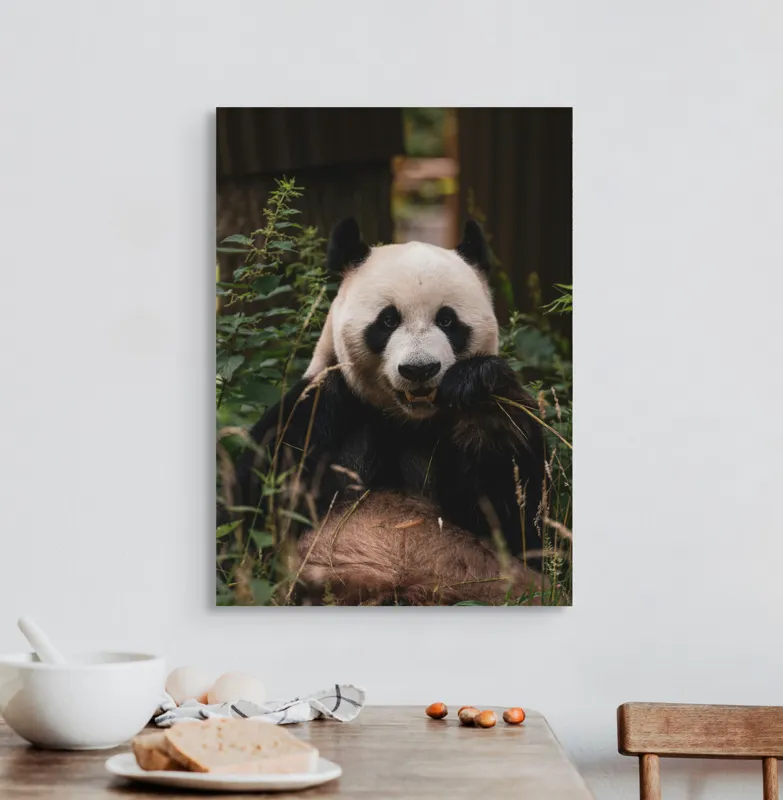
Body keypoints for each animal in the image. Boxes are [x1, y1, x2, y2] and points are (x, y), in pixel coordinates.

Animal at [224, 218, 547, 605]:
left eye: (447, 321)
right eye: (388, 320)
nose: (419, 369)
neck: (405, 421)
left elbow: (519, 519)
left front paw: (477, 386)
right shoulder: (318, 412)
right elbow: (248, 510)